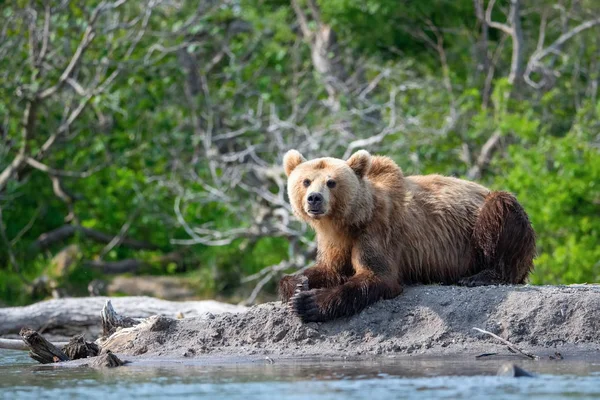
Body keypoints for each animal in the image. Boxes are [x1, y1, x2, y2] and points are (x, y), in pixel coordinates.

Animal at [278, 149, 536, 322]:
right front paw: (298, 283)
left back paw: (482, 276)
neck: (347, 221)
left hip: (483, 225)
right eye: (306, 181)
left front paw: (309, 303)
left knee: (501, 208)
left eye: (331, 182)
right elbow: (329, 269)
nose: (314, 198)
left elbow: (377, 276)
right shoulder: (334, 242)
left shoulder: (377, 231)